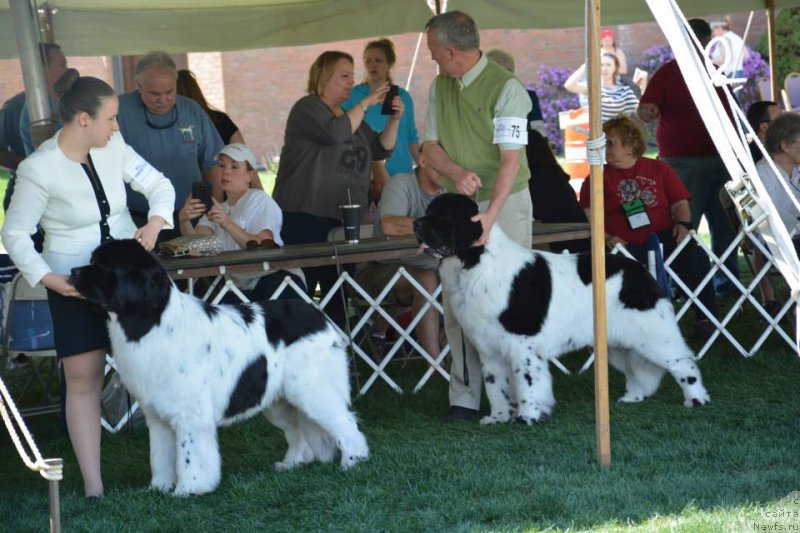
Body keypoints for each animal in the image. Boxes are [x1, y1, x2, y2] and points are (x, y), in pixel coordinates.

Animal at [69, 239, 368, 496]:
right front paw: (158, 488)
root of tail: (319, 315)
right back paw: (291, 463)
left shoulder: (190, 415)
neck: (150, 322)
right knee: (297, 433)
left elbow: (190, 455)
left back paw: (353, 462)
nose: (72, 271)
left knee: (346, 424)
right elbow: (160, 455)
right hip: (277, 400)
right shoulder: (157, 415)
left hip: (313, 390)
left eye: (103, 267)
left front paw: (188, 489)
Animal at [416, 192, 708, 424]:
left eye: (442, 216)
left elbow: (527, 381)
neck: (474, 261)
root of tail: (641, 271)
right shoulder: (488, 347)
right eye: (429, 210)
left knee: (683, 363)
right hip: (617, 344)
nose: (416, 224)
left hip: (653, 335)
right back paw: (632, 398)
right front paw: (498, 418)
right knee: (635, 371)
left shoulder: (522, 343)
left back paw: (696, 400)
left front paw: (529, 417)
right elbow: (495, 385)